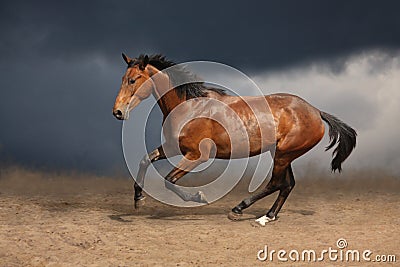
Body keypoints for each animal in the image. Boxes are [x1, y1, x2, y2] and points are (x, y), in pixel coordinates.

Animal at [112, 54, 356, 226]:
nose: (117, 112)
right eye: (123, 79)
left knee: (277, 183)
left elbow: (169, 180)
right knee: (288, 184)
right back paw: (267, 216)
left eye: (132, 80)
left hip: (283, 154)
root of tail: (316, 111)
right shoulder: (174, 147)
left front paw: (199, 197)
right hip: (281, 153)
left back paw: (240, 210)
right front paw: (138, 199)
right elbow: (145, 160)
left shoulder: (197, 155)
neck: (190, 106)